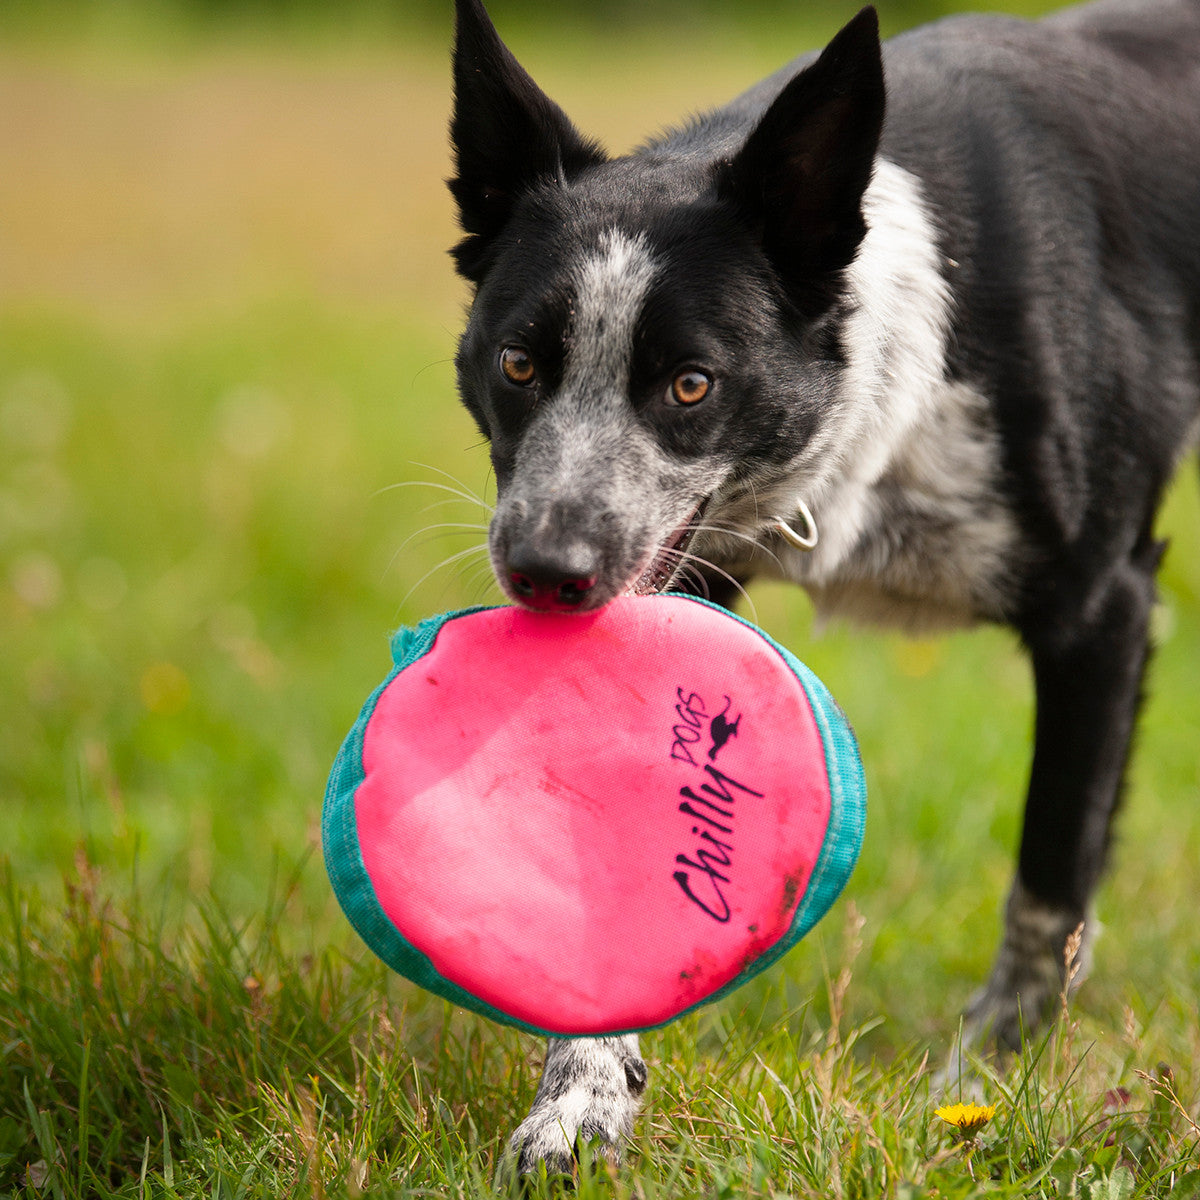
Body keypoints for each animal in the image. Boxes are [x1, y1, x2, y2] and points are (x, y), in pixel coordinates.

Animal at [444, 0, 1200, 1176]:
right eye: (517, 365)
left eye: (692, 384)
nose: (544, 573)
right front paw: (582, 1095)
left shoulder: (1103, 611)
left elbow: (1050, 879)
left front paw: (985, 1084)